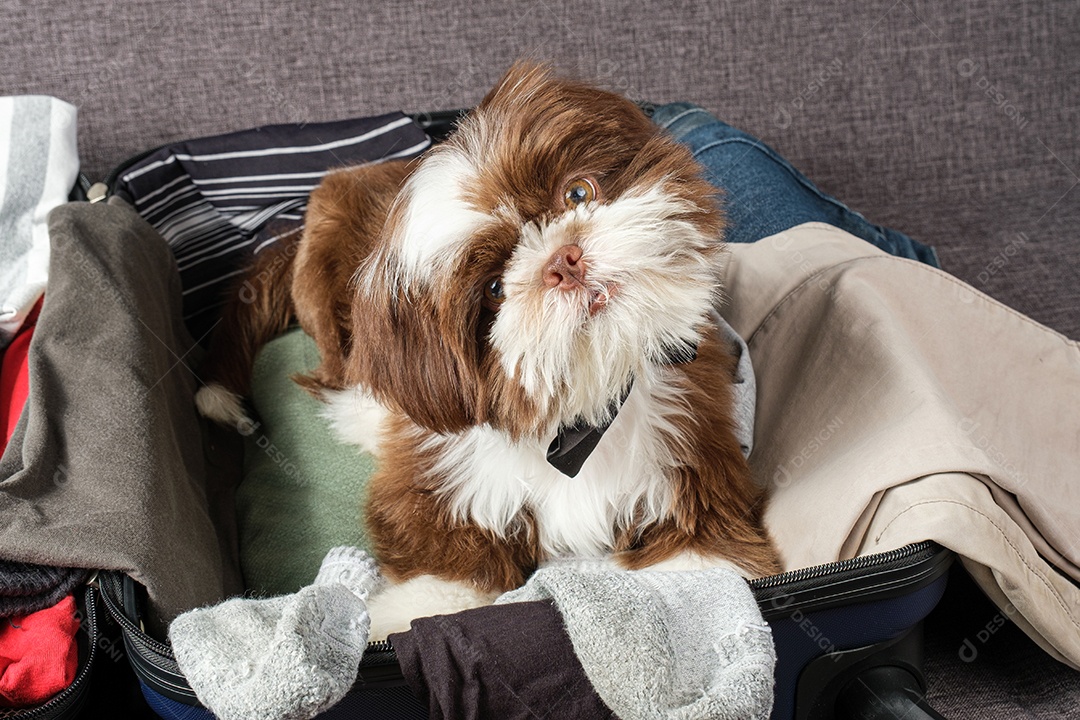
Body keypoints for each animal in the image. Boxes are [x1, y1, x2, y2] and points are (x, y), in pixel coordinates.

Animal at [198, 60, 781, 634]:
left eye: (578, 193)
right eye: (494, 290)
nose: (563, 260)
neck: (579, 415)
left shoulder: (689, 451)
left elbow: (700, 556)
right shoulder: (444, 478)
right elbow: (445, 564)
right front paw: (411, 613)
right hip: (321, 284)